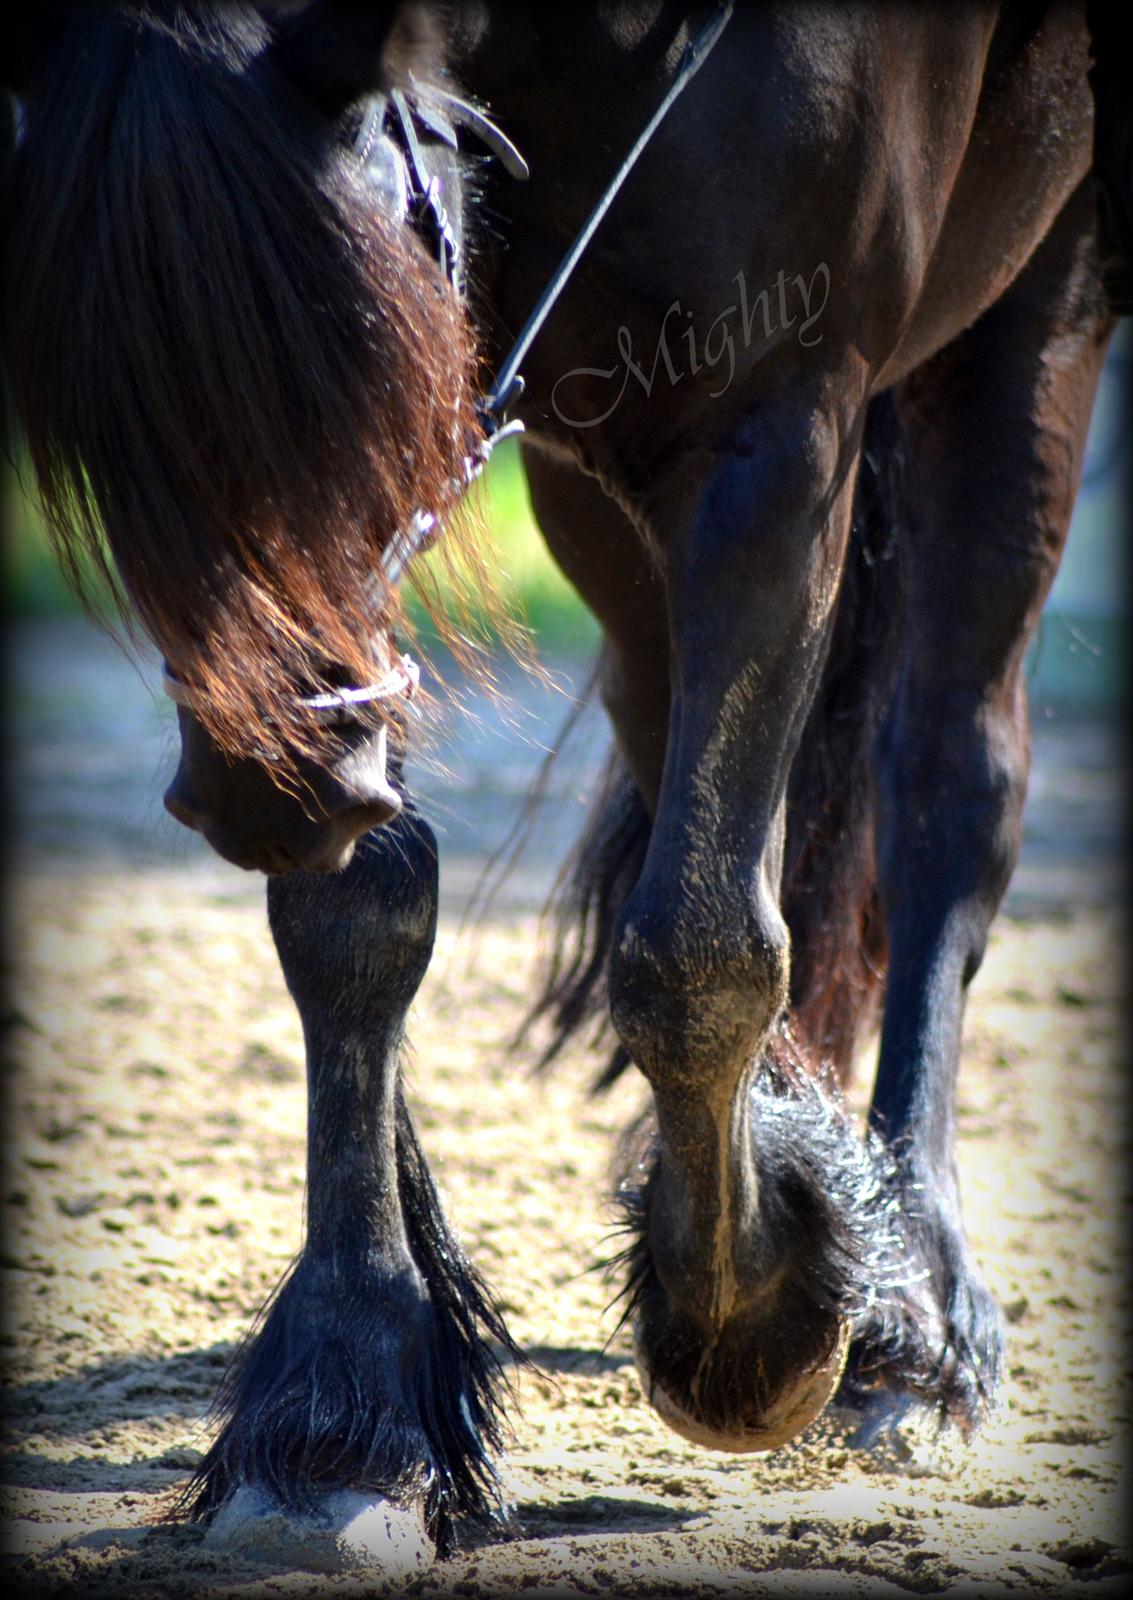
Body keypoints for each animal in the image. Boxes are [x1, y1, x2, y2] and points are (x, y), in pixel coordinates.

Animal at [3, 0, 1126, 1569]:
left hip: (1035, 310)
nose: (268, 780)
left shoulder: (775, 424)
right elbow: (359, 924)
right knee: (687, 756)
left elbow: (701, 949)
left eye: (354, 346)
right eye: (98, 405)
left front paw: (758, 1325)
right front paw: (344, 1414)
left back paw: (913, 1316)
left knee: (949, 785)